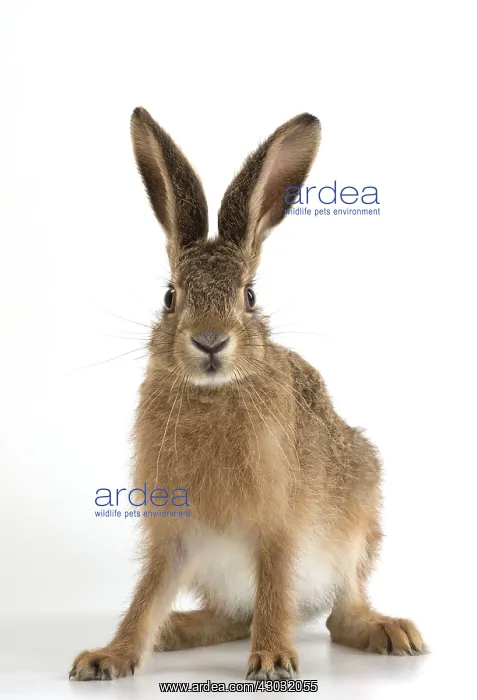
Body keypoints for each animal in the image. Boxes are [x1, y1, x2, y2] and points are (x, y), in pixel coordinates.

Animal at [69, 107, 426, 682]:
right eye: (170, 297)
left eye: (250, 296)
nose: (210, 341)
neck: (213, 395)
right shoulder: (173, 534)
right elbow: (147, 595)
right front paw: (109, 657)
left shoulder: (279, 524)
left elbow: (275, 587)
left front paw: (274, 659)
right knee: (232, 617)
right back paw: (178, 629)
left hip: (357, 520)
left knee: (338, 614)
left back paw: (389, 631)